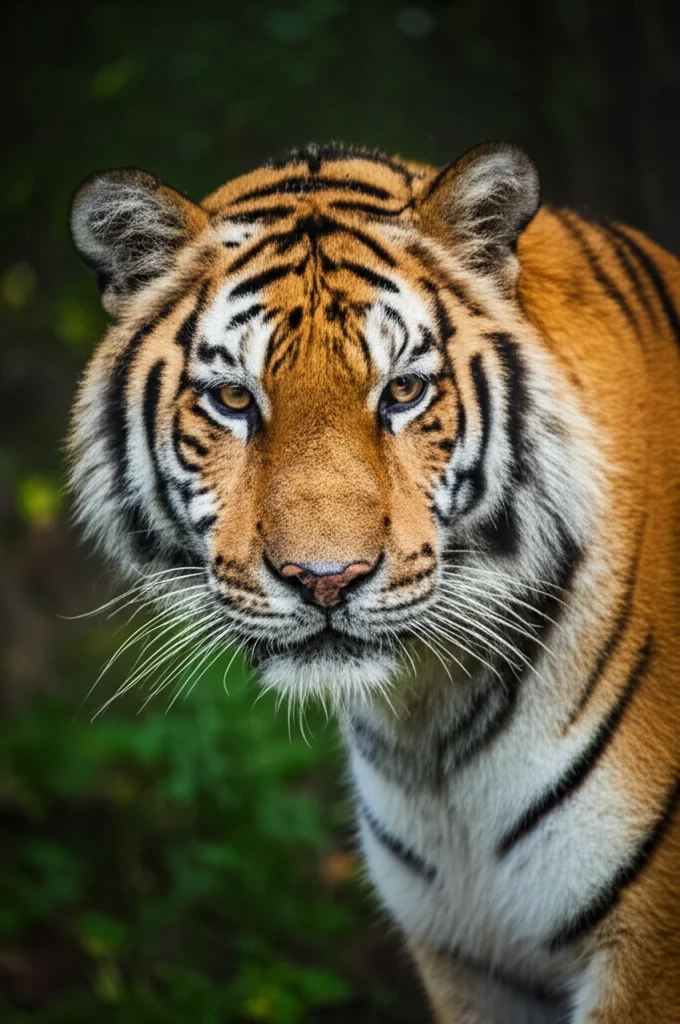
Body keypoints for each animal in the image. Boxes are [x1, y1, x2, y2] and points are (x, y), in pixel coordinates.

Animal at [68, 140, 680, 1023]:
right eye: (233, 399)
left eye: (404, 391)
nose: (326, 580)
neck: (433, 734)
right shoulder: (469, 958)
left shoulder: (647, 950)